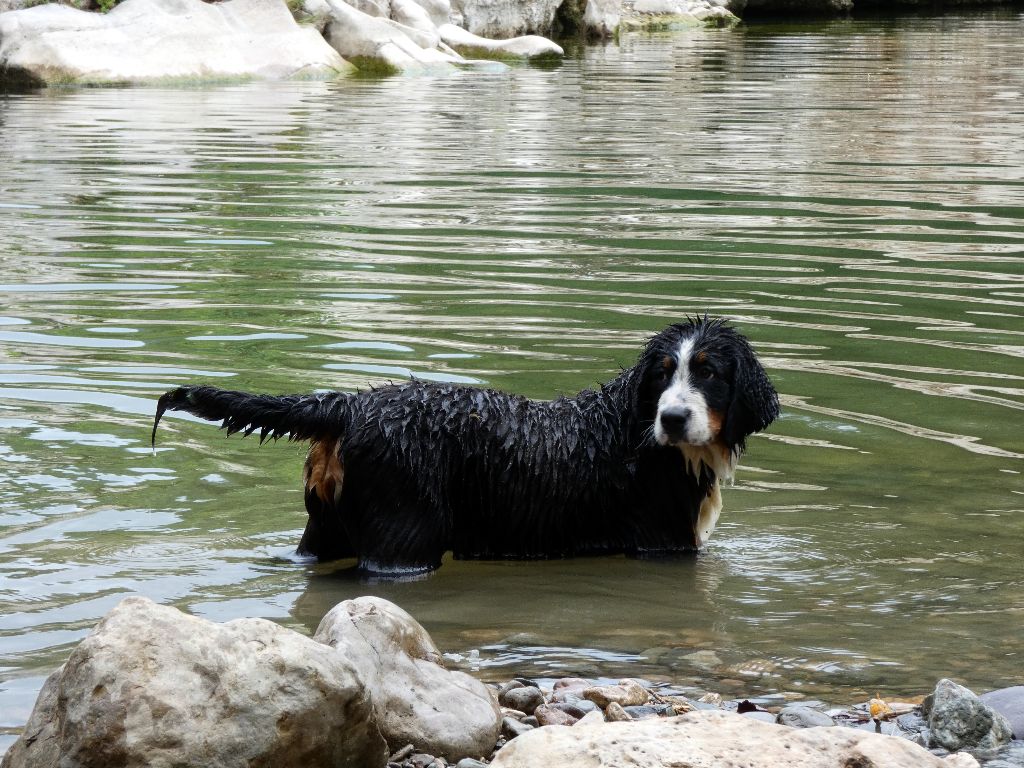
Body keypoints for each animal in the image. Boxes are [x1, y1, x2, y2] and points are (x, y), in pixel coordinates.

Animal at [149, 315, 774, 573]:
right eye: (664, 374)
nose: (673, 418)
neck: (634, 428)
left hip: (322, 529)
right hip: (404, 539)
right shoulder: (662, 542)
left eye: (709, 372)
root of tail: (350, 404)